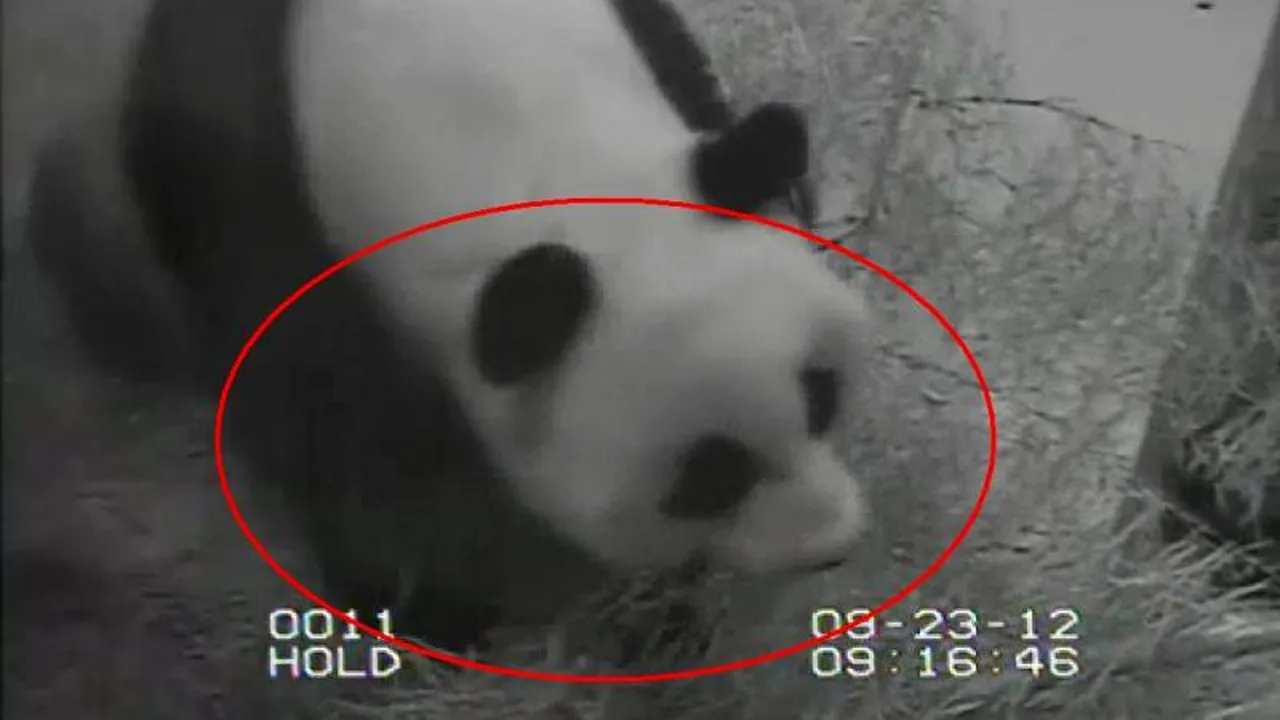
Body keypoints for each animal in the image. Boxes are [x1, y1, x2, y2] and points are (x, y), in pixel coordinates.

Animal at [27, 0, 874, 663]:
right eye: (709, 474)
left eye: (821, 393)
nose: (830, 545)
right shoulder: (262, 189)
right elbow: (330, 434)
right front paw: (426, 613)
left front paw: (662, 616)